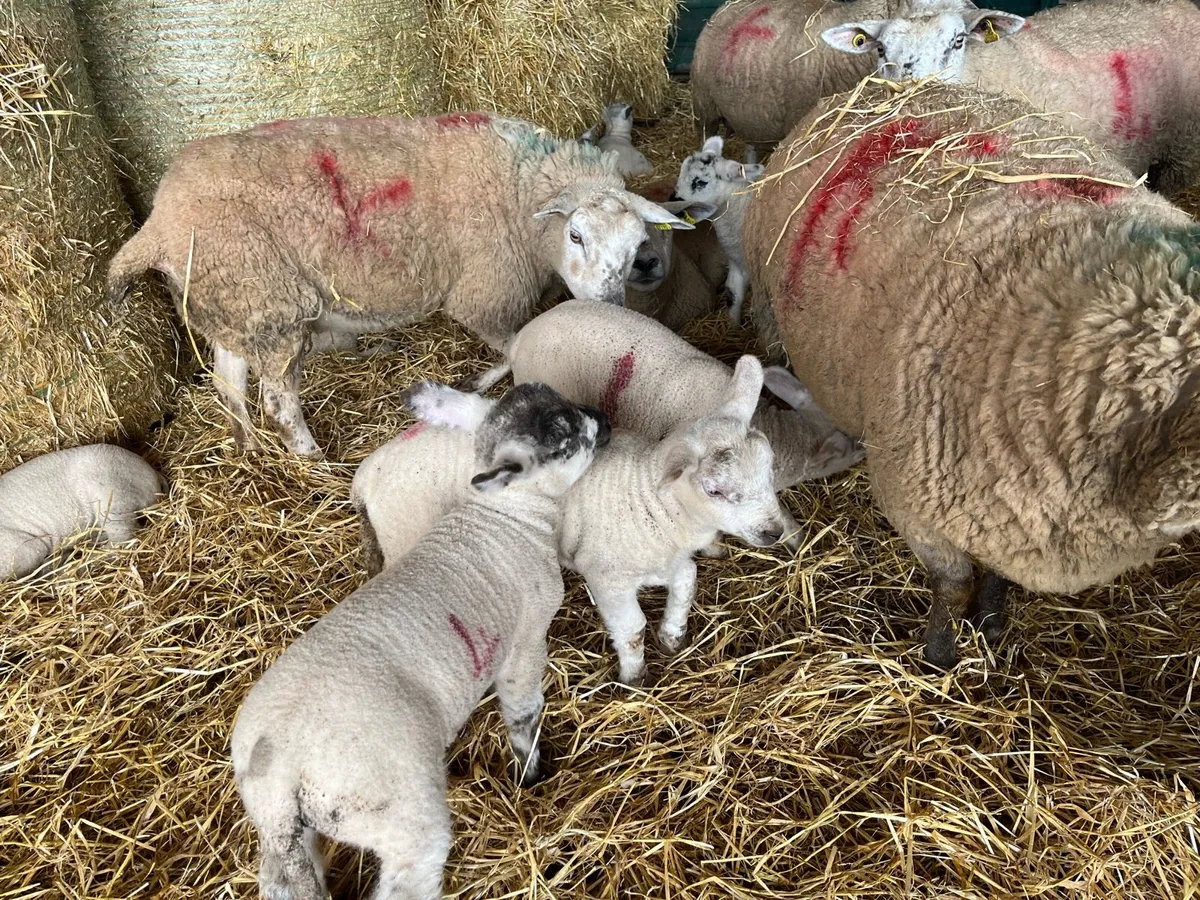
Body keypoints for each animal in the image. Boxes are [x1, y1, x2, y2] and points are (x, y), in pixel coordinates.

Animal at [106, 113, 693, 458]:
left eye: (637, 246)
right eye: (575, 234)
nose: (611, 308)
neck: (519, 188)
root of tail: (158, 220)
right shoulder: (484, 293)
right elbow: (512, 346)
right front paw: (477, 383)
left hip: (233, 301)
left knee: (229, 383)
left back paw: (247, 448)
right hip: (270, 301)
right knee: (277, 400)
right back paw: (312, 460)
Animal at [231, 382, 608, 900]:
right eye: (563, 432)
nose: (604, 418)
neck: (508, 518)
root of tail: (278, 764)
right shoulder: (527, 639)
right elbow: (523, 710)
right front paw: (530, 772)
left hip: (286, 834)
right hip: (398, 811)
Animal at [356, 356, 796, 685]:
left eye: (770, 467)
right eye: (715, 489)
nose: (773, 532)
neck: (649, 498)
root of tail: (366, 474)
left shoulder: (661, 560)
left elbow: (687, 580)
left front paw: (672, 634)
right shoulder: (608, 576)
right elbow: (632, 628)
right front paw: (634, 675)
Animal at [742, 78, 1200, 668]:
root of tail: (869, 91)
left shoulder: (1014, 516)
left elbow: (996, 577)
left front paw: (993, 623)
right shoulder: (914, 499)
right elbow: (953, 582)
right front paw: (938, 653)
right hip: (772, 316)